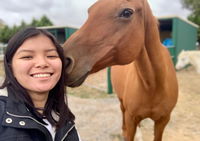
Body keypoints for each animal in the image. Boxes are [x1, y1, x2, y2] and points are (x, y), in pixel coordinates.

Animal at [63, 0, 178, 140]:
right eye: (90, 12)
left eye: (127, 12)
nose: (63, 60)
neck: (154, 86)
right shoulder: (131, 118)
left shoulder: (163, 121)